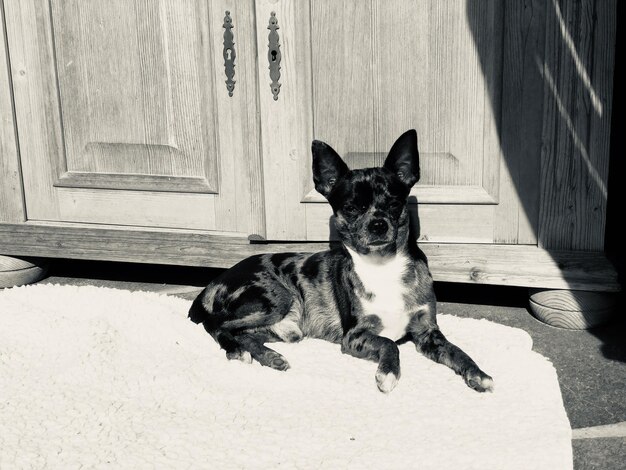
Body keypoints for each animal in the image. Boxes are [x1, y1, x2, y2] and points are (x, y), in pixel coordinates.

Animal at [188, 129, 490, 392]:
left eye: (394, 204)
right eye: (351, 208)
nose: (378, 224)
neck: (383, 266)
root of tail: (214, 282)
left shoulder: (427, 333)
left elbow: (457, 351)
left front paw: (477, 373)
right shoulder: (354, 336)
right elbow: (389, 343)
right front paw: (388, 372)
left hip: (284, 326)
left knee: (244, 333)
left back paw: (270, 356)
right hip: (276, 298)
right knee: (216, 324)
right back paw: (236, 351)